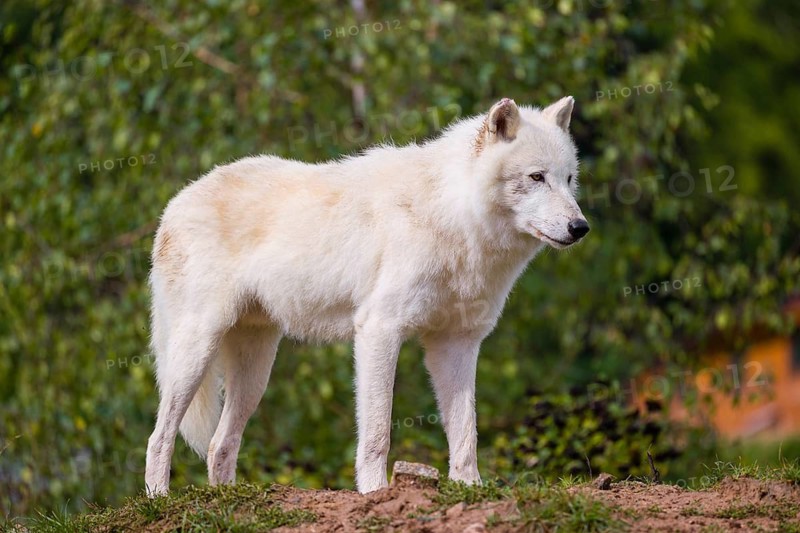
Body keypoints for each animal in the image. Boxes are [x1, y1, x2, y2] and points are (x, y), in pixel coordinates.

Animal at [144, 96, 589, 495]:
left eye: (569, 179)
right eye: (536, 177)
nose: (580, 227)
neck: (454, 219)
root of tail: (174, 204)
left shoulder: (456, 343)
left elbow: (466, 432)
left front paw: (470, 488)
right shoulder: (379, 331)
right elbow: (377, 431)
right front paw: (375, 492)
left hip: (256, 371)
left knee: (219, 444)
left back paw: (226, 498)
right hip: (196, 352)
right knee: (159, 436)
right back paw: (158, 498)